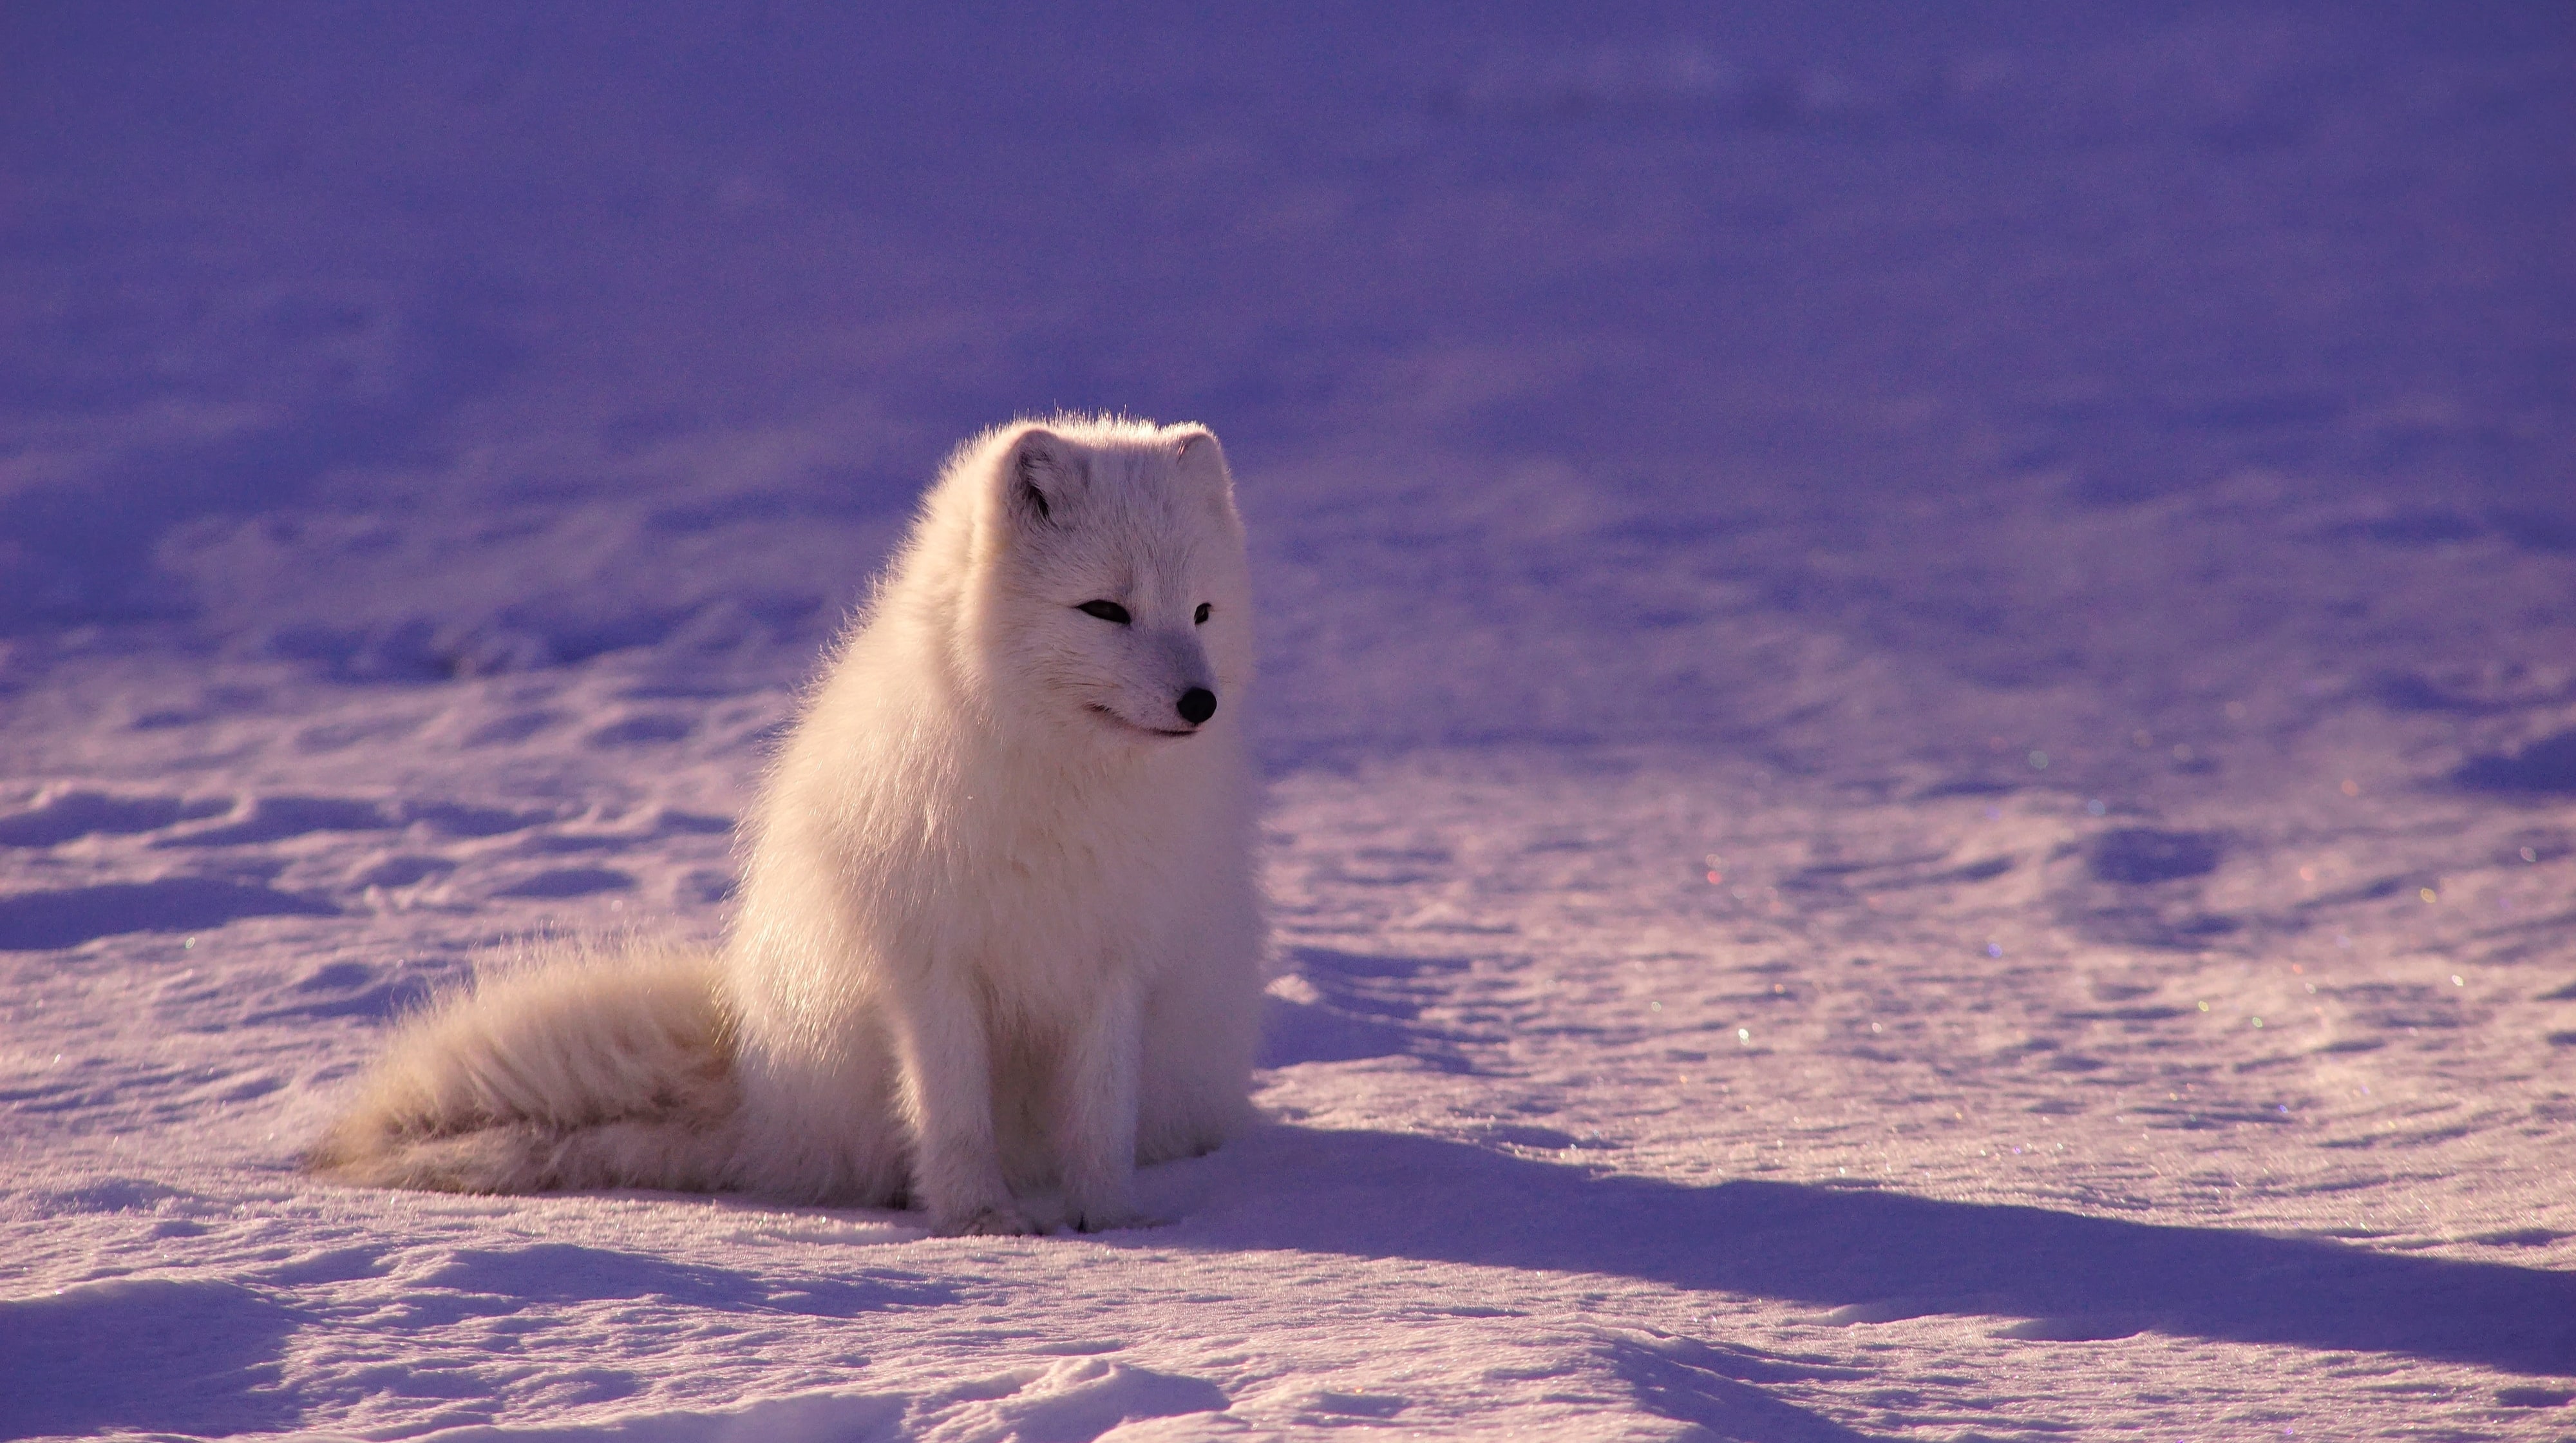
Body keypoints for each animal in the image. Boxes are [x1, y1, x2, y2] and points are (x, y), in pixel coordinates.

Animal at [312, 417, 1267, 1242]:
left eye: (1202, 612)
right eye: (1105, 610)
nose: (1201, 703)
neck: (1065, 787)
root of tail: (757, 1090)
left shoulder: (1116, 964)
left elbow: (1100, 1118)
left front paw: (1110, 1221)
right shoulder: (930, 964)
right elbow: (953, 1113)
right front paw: (981, 1221)